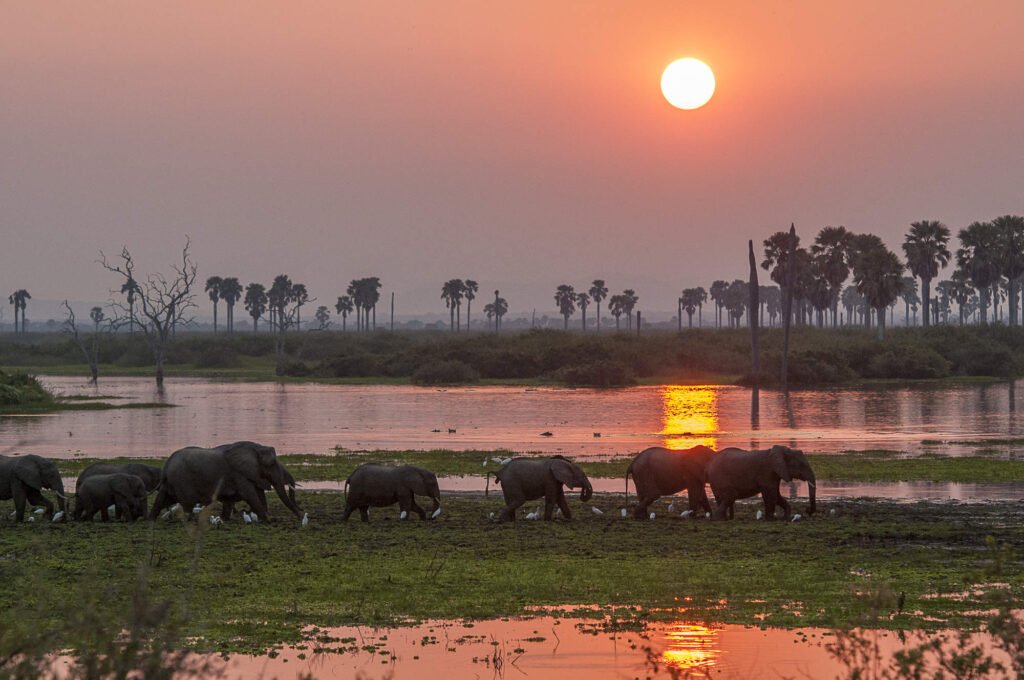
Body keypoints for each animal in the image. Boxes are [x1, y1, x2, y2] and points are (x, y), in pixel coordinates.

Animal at [148, 441, 303, 522]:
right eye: (272, 464)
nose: (301, 514)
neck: (256, 447)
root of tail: (167, 464)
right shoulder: (238, 474)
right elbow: (250, 495)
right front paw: (267, 521)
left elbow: (247, 495)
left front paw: (226, 519)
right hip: (182, 480)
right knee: (187, 505)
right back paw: (191, 521)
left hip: (171, 482)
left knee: (161, 499)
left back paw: (150, 520)